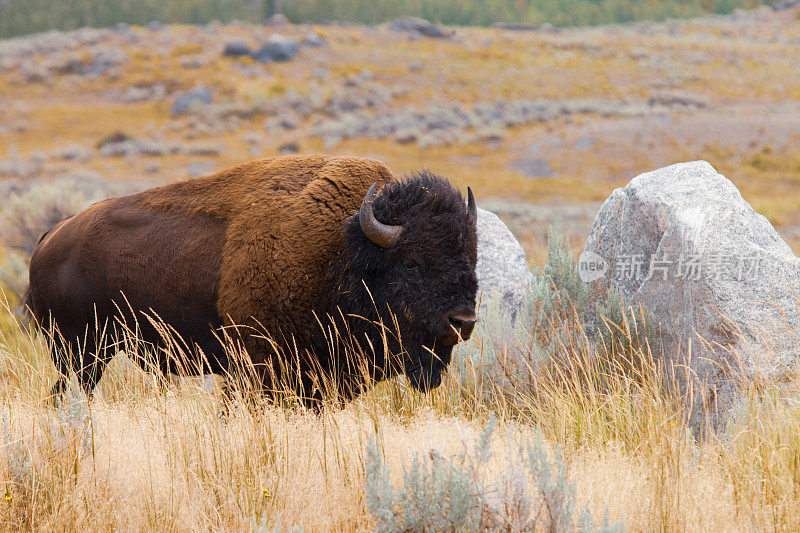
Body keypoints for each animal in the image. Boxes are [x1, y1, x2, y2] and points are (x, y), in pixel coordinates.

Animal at [25, 154, 478, 404]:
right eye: (411, 264)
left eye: (471, 257)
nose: (463, 322)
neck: (343, 251)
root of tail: (50, 238)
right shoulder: (253, 368)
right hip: (80, 353)